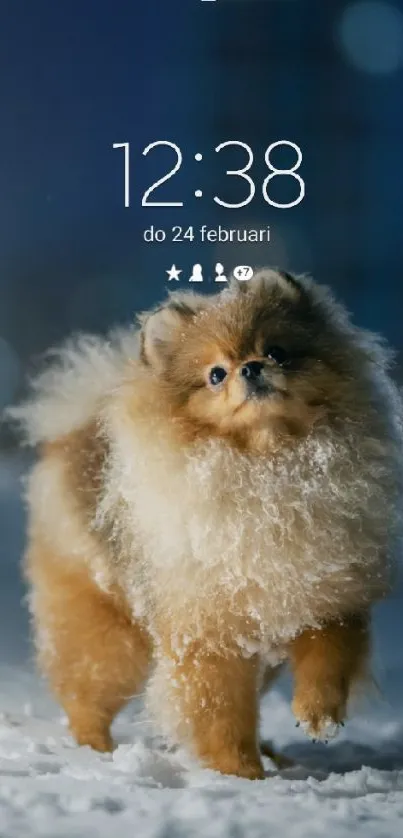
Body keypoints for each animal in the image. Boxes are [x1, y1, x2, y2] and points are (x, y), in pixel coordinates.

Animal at [7, 270, 403, 780]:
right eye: (216, 374)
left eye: (277, 351)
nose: (250, 368)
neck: (272, 466)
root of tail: (73, 430)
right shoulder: (209, 634)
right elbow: (222, 713)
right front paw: (240, 774)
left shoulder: (327, 598)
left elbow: (328, 660)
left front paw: (318, 716)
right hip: (110, 636)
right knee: (86, 695)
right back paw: (96, 751)